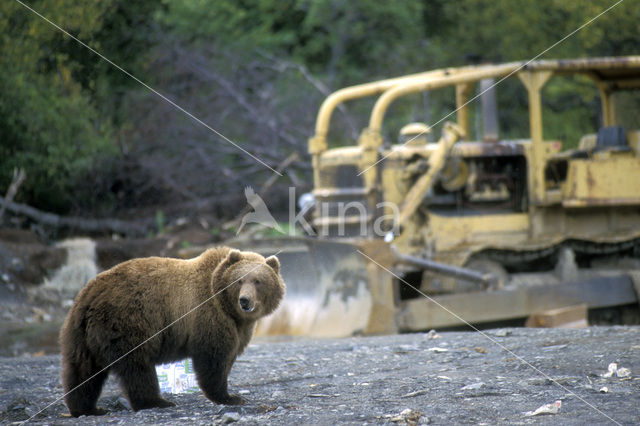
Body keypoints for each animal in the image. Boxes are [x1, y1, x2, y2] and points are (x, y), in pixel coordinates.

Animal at [59, 246, 284, 416]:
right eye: (239, 280)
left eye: (258, 281)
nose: (245, 301)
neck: (226, 305)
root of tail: (90, 293)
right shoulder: (207, 314)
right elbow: (213, 357)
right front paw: (229, 397)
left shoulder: (239, 326)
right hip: (127, 321)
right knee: (136, 366)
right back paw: (156, 401)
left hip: (81, 333)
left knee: (83, 369)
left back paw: (87, 408)